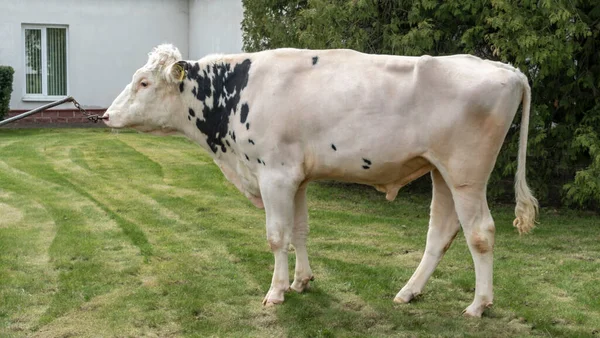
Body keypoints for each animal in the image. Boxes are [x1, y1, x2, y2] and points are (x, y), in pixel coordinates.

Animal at [104, 44, 540, 316]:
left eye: (144, 82)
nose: (106, 115)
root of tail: (506, 68)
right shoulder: (295, 177)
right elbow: (299, 231)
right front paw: (301, 282)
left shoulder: (274, 174)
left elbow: (276, 236)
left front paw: (276, 292)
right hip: (440, 171)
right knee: (441, 232)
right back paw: (408, 293)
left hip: (466, 175)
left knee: (480, 232)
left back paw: (478, 305)